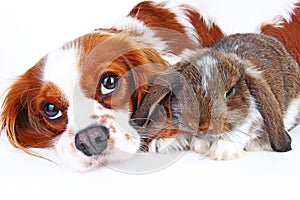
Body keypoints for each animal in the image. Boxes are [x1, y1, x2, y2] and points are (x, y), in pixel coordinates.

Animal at [132, 33, 300, 160]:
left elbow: (241, 131)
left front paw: (222, 152)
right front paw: (159, 143)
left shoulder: (251, 120)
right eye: (187, 89)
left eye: (230, 91)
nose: (204, 126)